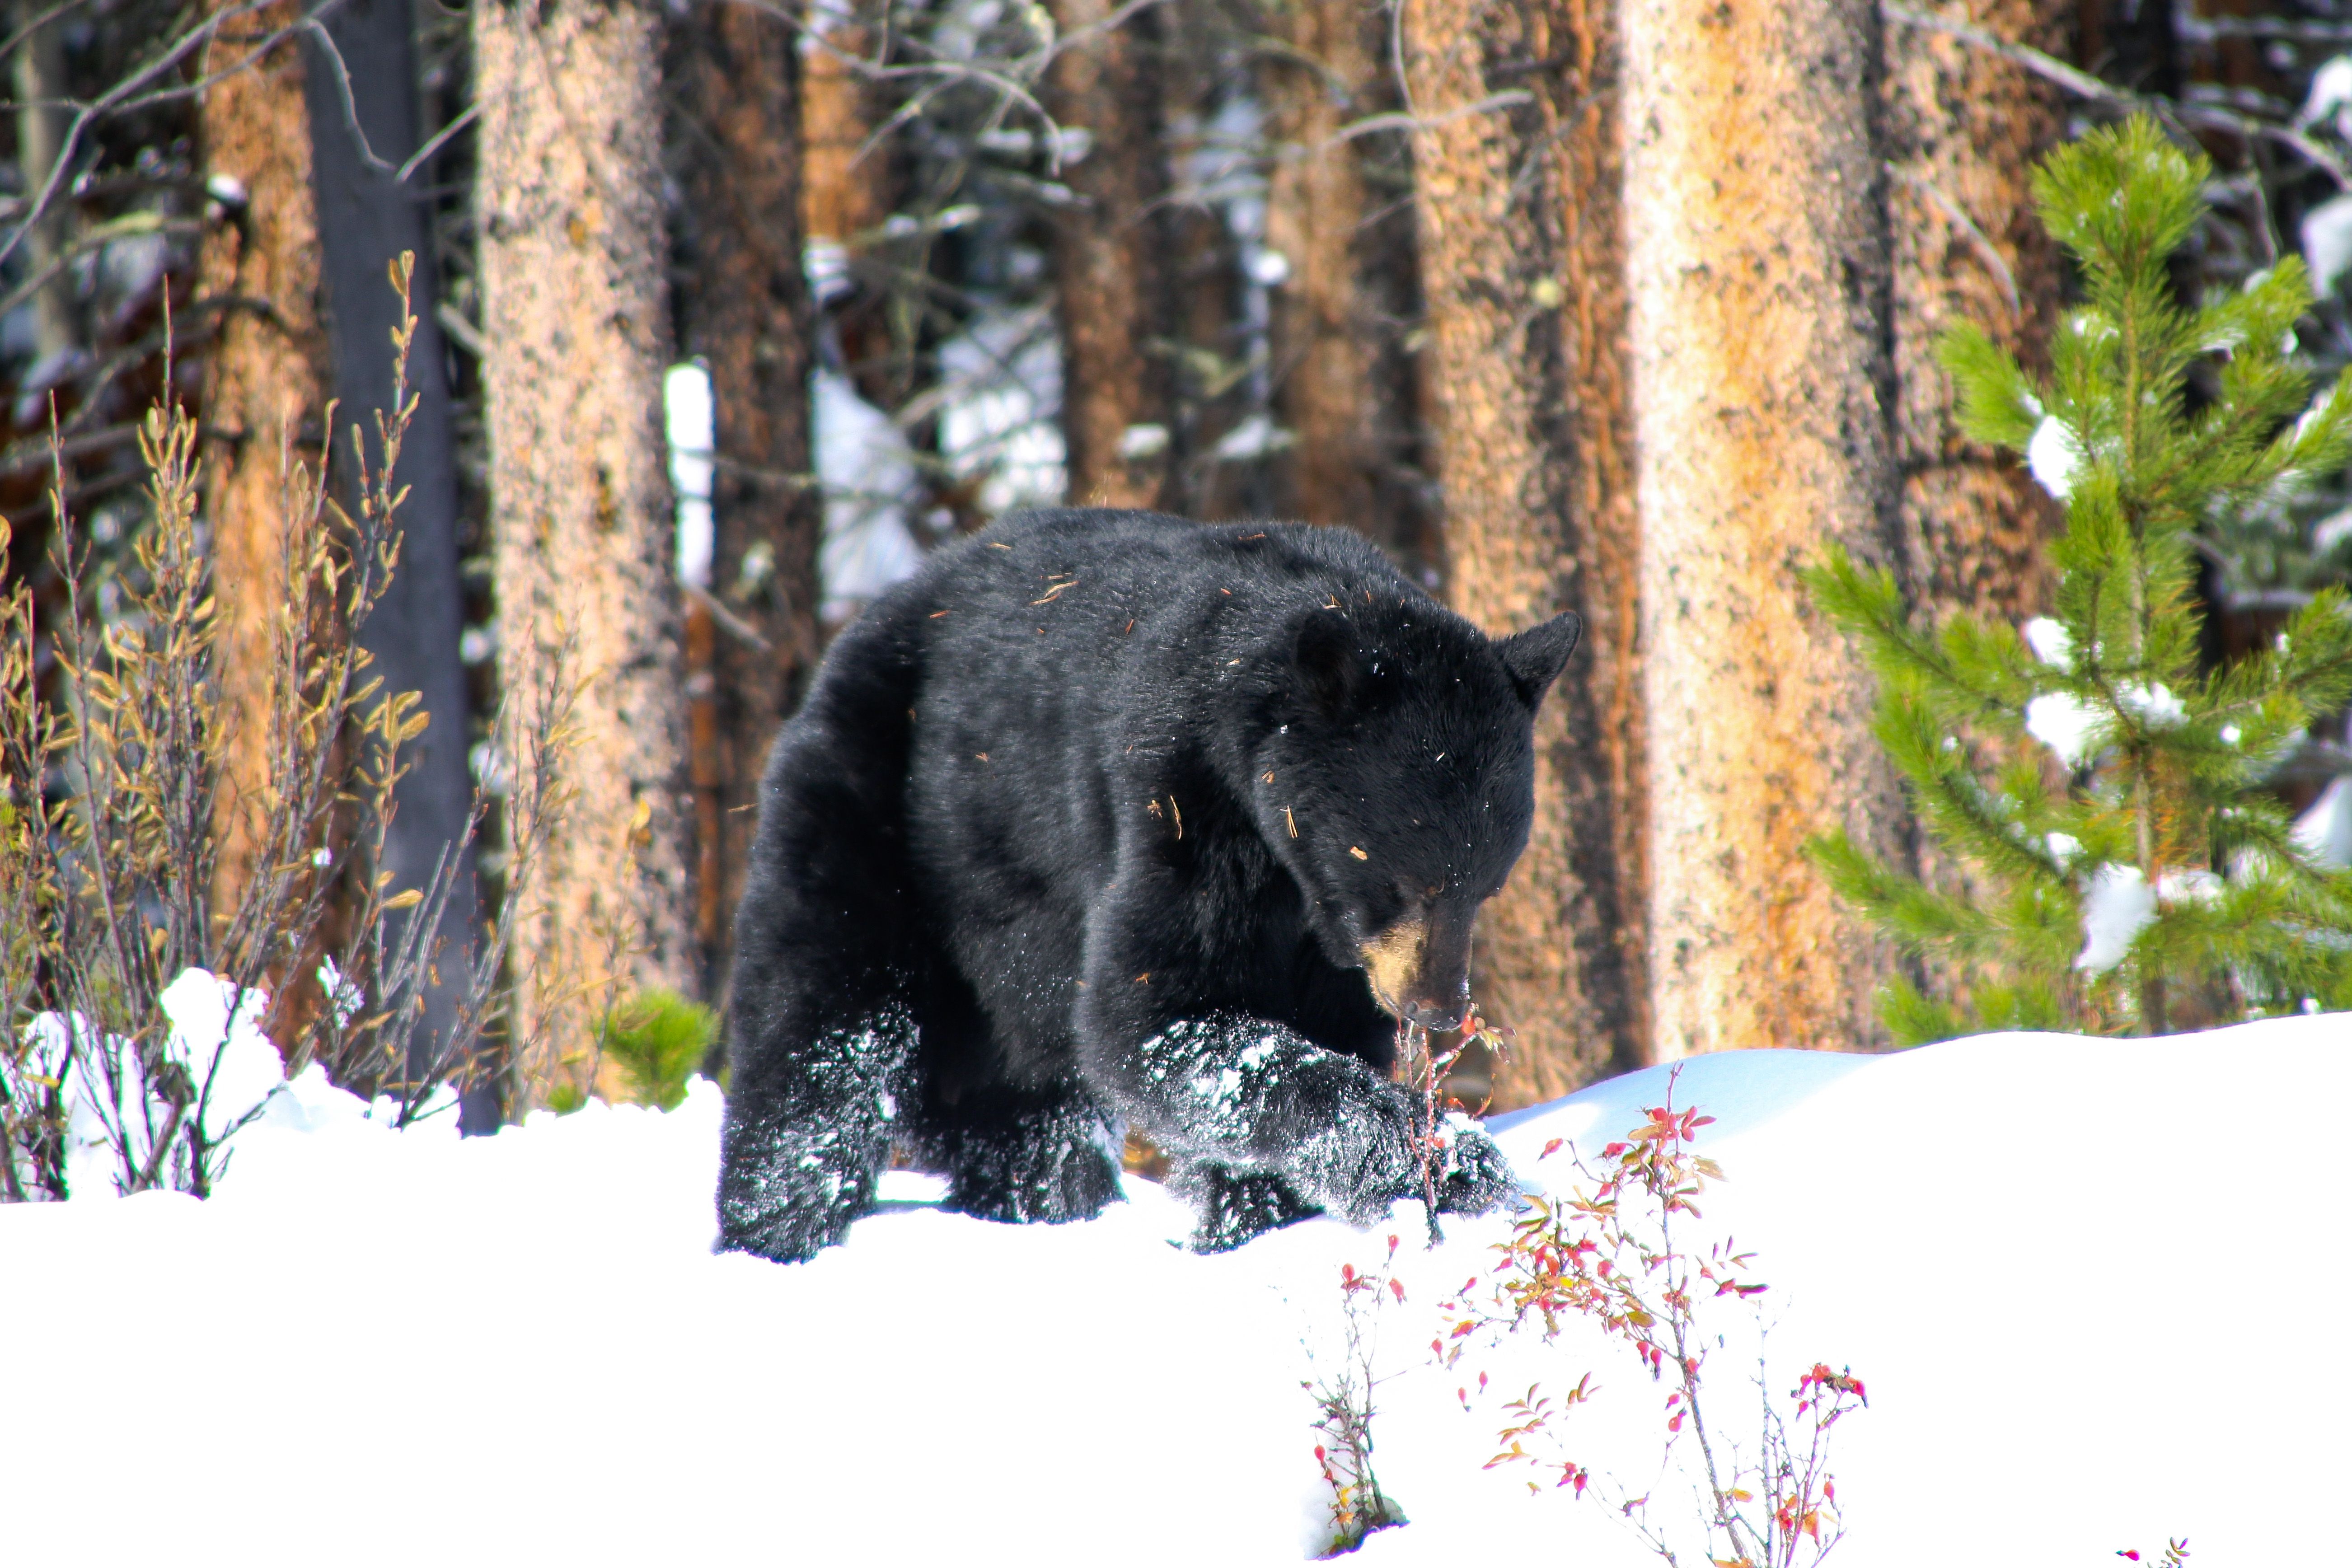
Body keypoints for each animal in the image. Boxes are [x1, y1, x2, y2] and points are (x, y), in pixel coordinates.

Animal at [715, 515, 1580, 1260]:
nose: (1437, 1009)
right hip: (878, 813)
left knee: (1023, 1119)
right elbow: (1152, 1018)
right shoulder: (1180, 808)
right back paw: (774, 1231)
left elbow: (1302, 1040)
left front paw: (1261, 1220)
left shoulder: (1327, 946)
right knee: (819, 1041)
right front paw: (1434, 1156)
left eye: (1487, 887)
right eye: (1401, 879)